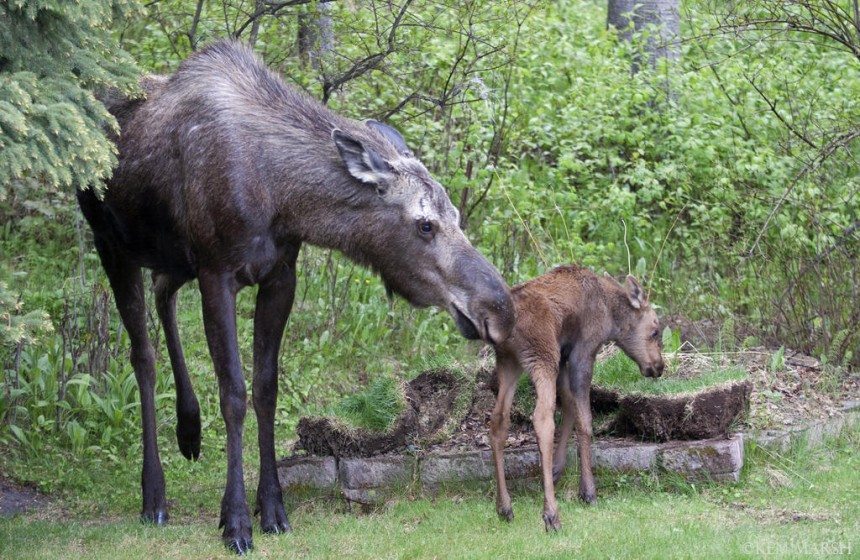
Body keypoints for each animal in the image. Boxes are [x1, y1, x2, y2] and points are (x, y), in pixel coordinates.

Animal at [77, 41, 512, 552]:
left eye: (457, 216)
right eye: (425, 225)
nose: (498, 306)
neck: (282, 196)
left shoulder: (280, 276)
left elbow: (267, 389)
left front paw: (273, 508)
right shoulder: (217, 272)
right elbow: (234, 392)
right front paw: (237, 521)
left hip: (174, 257)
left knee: (163, 292)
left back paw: (189, 427)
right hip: (113, 244)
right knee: (141, 357)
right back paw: (154, 495)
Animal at [490, 266, 664, 528]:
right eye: (654, 331)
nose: (659, 367)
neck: (611, 316)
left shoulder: (564, 354)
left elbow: (570, 407)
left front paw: (555, 469)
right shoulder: (583, 351)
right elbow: (585, 421)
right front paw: (588, 491)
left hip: (509, 362)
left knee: (498, 420)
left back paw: (504, 507)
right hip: (542, 356)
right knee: (542, 418)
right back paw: (551, 513)